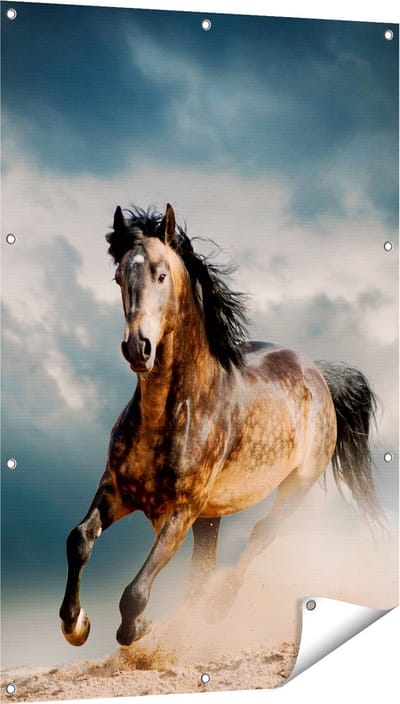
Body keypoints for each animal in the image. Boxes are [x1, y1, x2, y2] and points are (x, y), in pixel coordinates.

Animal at [59, 202, 382, 648]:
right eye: (119, 276)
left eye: (161, 274)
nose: (138, 348)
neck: (171, 413)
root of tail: (317, 373)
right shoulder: (116, 490)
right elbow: (78, 540)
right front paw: (75, 624)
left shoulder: (181, 511)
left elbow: (135, 592)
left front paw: (138, 628)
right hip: (211, 517)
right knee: (205, 566)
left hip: (294, 487)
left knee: (259, 536)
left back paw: (217, 608)